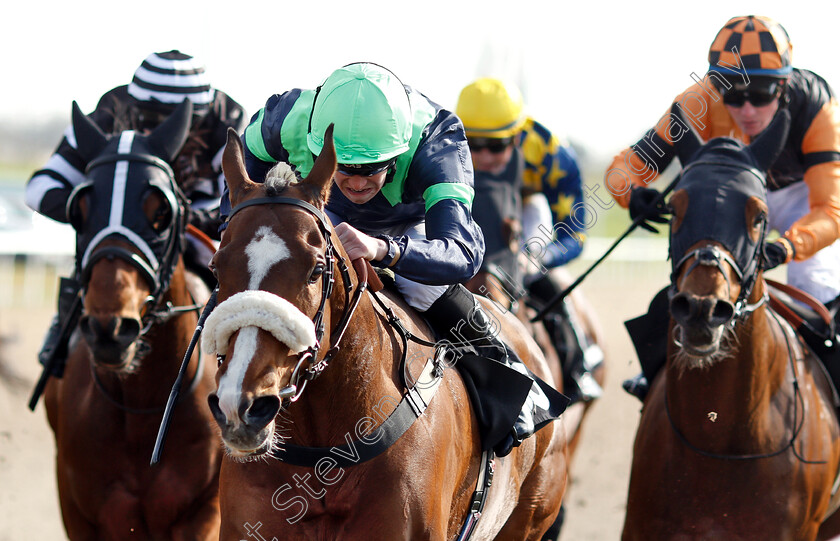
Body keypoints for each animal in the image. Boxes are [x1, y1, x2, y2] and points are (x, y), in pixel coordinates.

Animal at [44, 101, 221, 540]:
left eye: (160, 213)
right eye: (79, 211)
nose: (110, 329)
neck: (145, 406)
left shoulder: (204, 509)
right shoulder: (81, 510)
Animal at [204, 124, 568, 536]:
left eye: (316, 270)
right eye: (216, 268)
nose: (241, 406)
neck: (325, 452)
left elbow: (462, 245)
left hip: (531, 516)